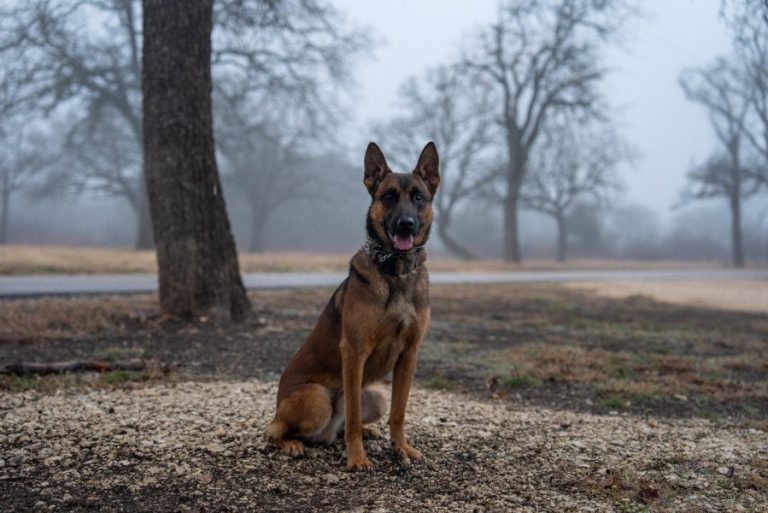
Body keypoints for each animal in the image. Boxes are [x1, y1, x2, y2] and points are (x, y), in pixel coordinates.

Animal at [268, 142, 438, 470]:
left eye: (418, 197)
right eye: (389, 197)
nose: (406, 224)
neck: (395, 271)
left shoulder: (408, 356)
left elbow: (399, 413)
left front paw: (401, 448)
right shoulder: (355, 352)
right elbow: (354, 417)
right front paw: (357, 457)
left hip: (376, 395)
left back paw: (367, 432)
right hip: (318, 399)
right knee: (275, 430)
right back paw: (293, 443)